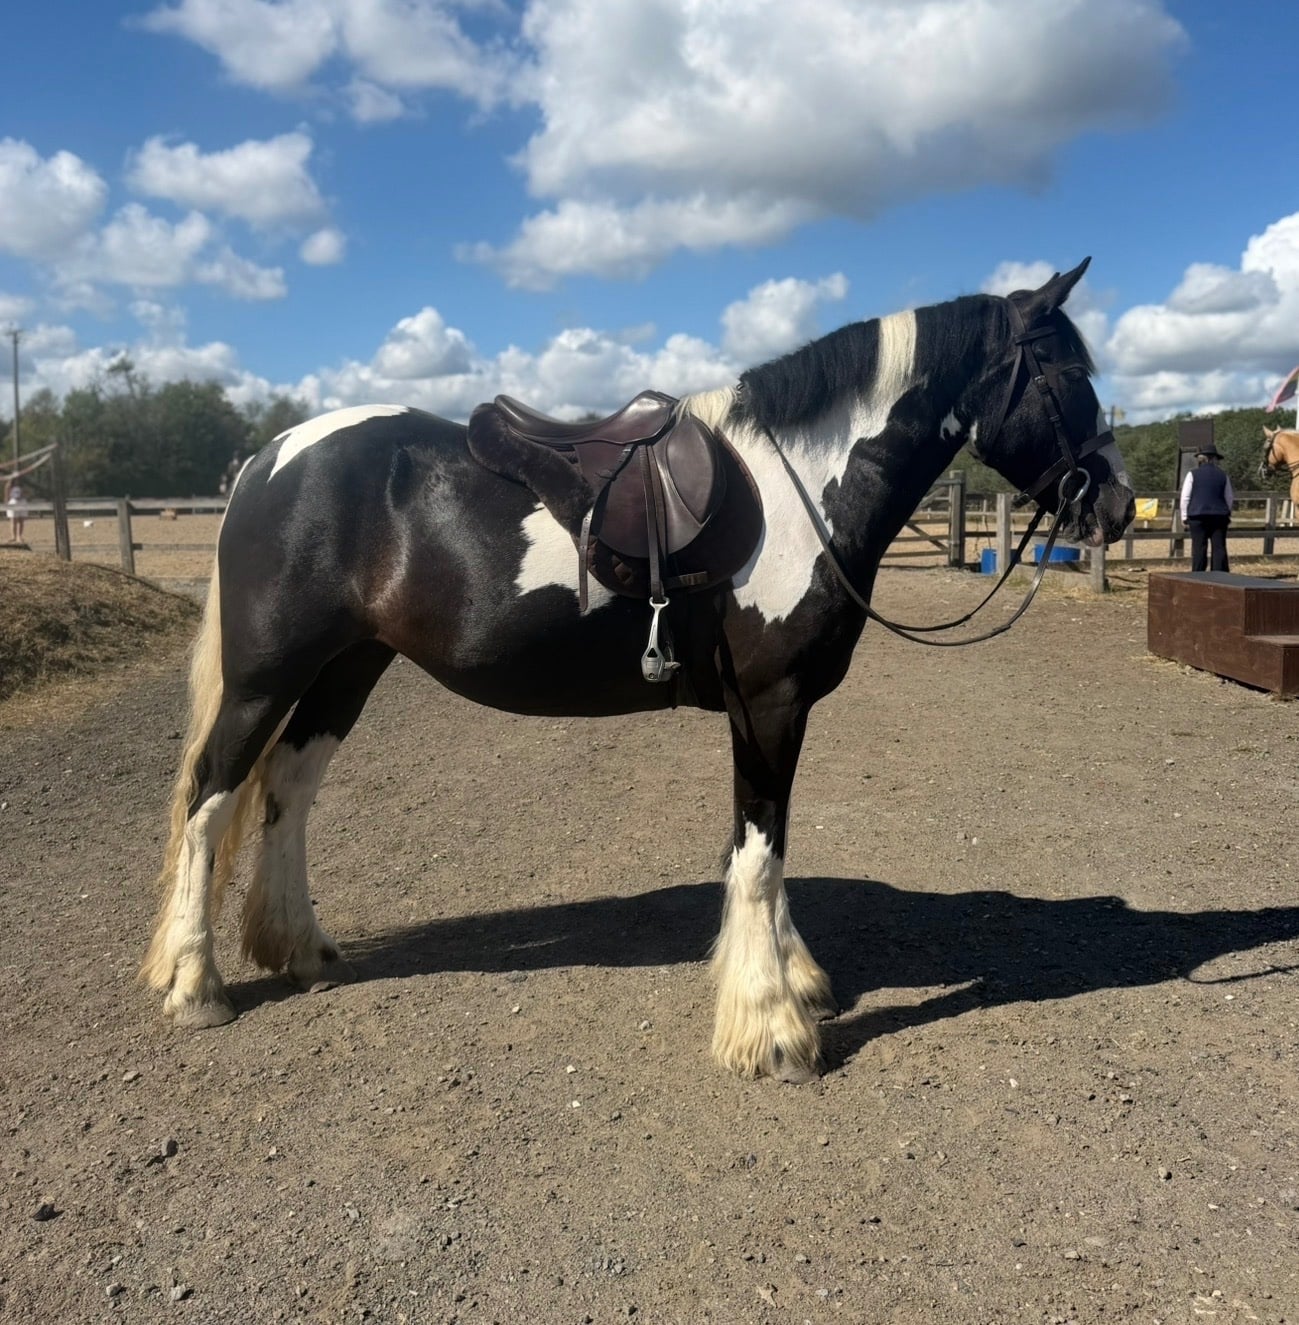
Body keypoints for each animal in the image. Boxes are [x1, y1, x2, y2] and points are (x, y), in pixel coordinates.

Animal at [142, 258, 1134, 1082]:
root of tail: (269, 458)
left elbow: (764, 849)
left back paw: (301, 951)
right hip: (268, 674)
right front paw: (771, 1030)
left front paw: (792, 981)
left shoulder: (770, 710)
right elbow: (760, 853)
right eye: (1069, 378)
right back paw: (195, 985)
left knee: (288, 789)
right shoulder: (770, 704)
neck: (804, 490)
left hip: (349, 666)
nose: (1118, 506)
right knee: (210, 798)